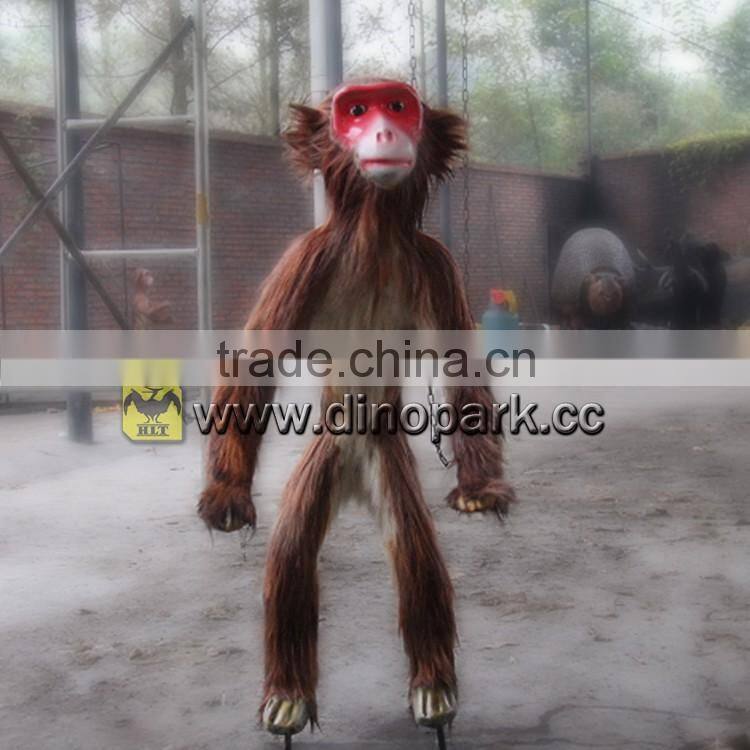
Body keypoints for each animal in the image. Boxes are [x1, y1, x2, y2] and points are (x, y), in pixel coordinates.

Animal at [197, 80, 515, 738]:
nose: (382, 131)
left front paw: (481, 489)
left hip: (386, 463)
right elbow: (255, 363)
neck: (372, 234)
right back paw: (288, 695)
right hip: (324, 459)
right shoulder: (306, 257)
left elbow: (461, 369)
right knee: (291, 556)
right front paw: (227, 496)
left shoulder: (434, 261)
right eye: (355, 109)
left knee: (417, 556)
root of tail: (353, 475)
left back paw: (433, 688)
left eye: (397, 106)